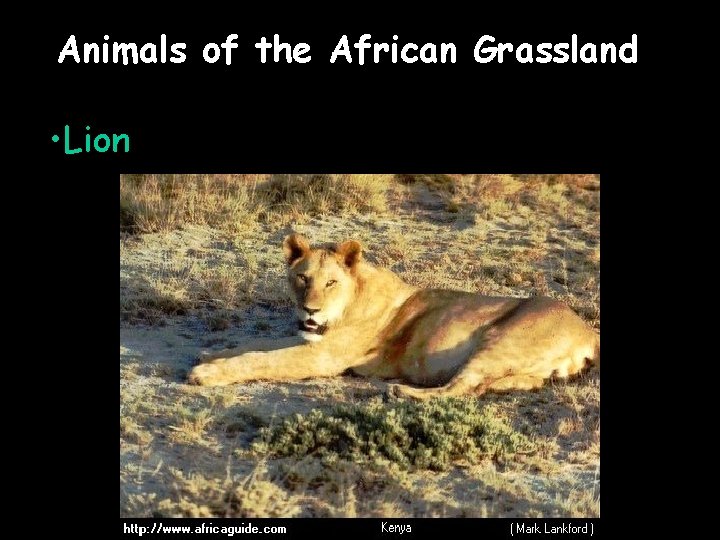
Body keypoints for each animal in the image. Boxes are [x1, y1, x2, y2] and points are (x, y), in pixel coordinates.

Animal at [188, 234, 600, 399]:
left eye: (331, 282)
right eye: (303, 278)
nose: (310, 309)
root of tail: (589, 330)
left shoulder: (324, 356)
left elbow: (263, 359)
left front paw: (205, 373)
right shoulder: (311, 337)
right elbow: (257, 344)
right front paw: (212, 353)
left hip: (500, 338)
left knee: (462, 389)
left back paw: (402, 392)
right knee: (489, 386)